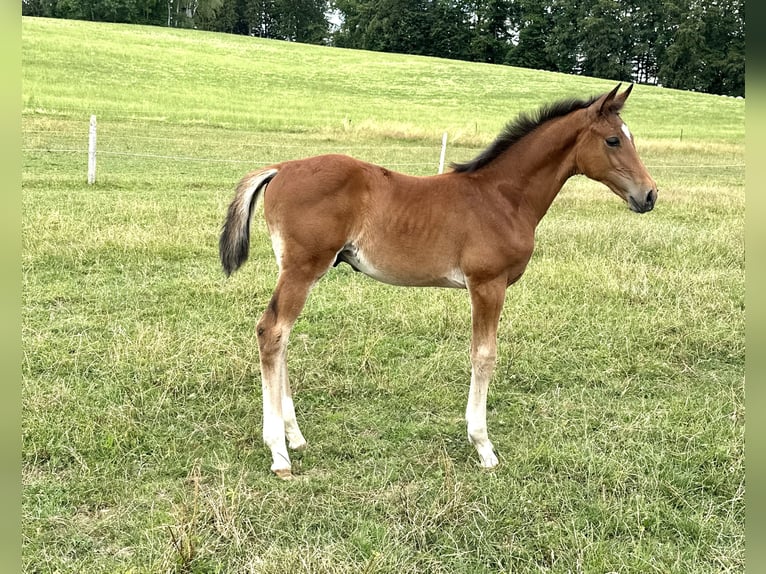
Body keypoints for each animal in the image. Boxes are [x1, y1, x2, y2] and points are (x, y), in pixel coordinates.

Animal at [219, 83, 657, 479]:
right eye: (614, 139)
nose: (650, 195)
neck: (502, 197)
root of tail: (281, 168)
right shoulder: (487, 284)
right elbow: (484, 356)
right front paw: (483, 445)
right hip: (302, 268)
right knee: (272, 331)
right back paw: (279, 453)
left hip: (302, 270)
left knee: (282, 337)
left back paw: (294, 437)